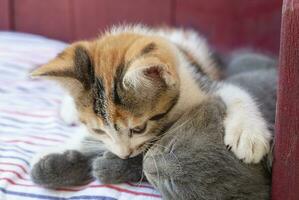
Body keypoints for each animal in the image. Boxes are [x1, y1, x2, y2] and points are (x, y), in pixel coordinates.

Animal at [29, 25, 272, 187]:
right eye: (99, 130)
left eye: (139, 128)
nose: (124, 155)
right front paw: (53, 150)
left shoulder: (203, 84)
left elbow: (238, 93)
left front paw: (247, 133)